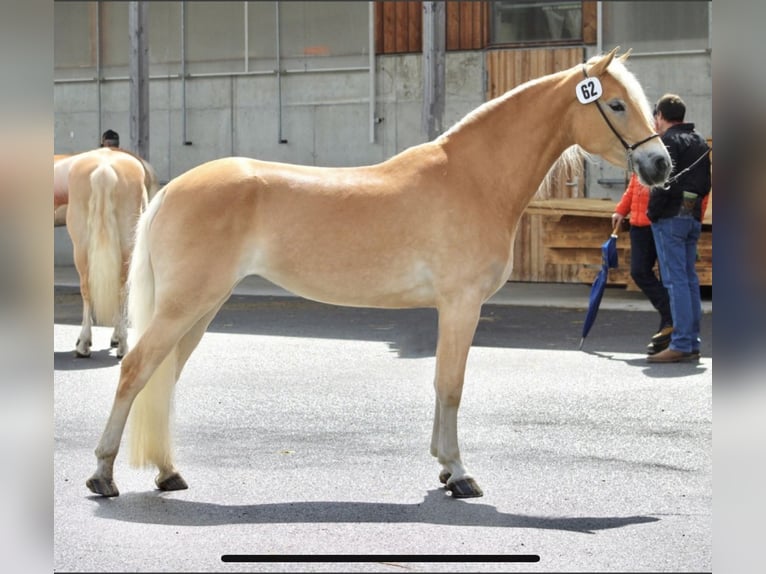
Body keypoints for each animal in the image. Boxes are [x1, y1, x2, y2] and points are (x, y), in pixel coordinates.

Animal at [66, 146, 152, 358]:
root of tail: (104, 170)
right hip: (127, 245)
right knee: (121, 289)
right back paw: (122, 344)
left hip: (80, 248)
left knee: (86, 288)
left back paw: (84, 343)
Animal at [85, 49, 672, 500]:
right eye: (615, 104)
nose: (661, 165)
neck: (472, 178)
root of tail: (170, 190)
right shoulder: (462, 304)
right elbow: (451, 385)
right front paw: (460, 475)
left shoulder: (452, 309)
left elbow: (442, 382)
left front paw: (444, 468)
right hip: (185, 305)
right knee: (135, 369)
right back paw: (103, 475)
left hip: (202, 308)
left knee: (163, 377)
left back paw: (167, 472)